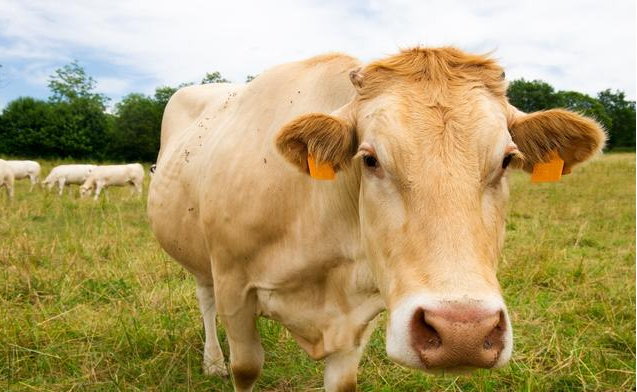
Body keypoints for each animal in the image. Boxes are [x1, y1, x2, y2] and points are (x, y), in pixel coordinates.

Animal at [147, 48, 604, 392]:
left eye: (508, 159)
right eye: (369, 158)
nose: (464, 334)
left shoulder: (358, 315)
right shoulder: (235, 288)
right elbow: (246, 368)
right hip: (201, 259)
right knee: (205, 300)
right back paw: (212, 361)